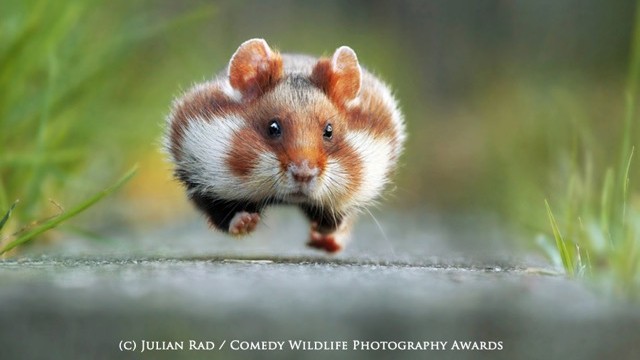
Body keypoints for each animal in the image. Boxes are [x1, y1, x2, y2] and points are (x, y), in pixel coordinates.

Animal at [164, 38, 404, 253]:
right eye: (273, 127)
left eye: (329, 131)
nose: (303, 174)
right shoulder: (202, 178)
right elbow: (223, 215)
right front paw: (247, 222)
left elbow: (336, 218)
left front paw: (322, 229)